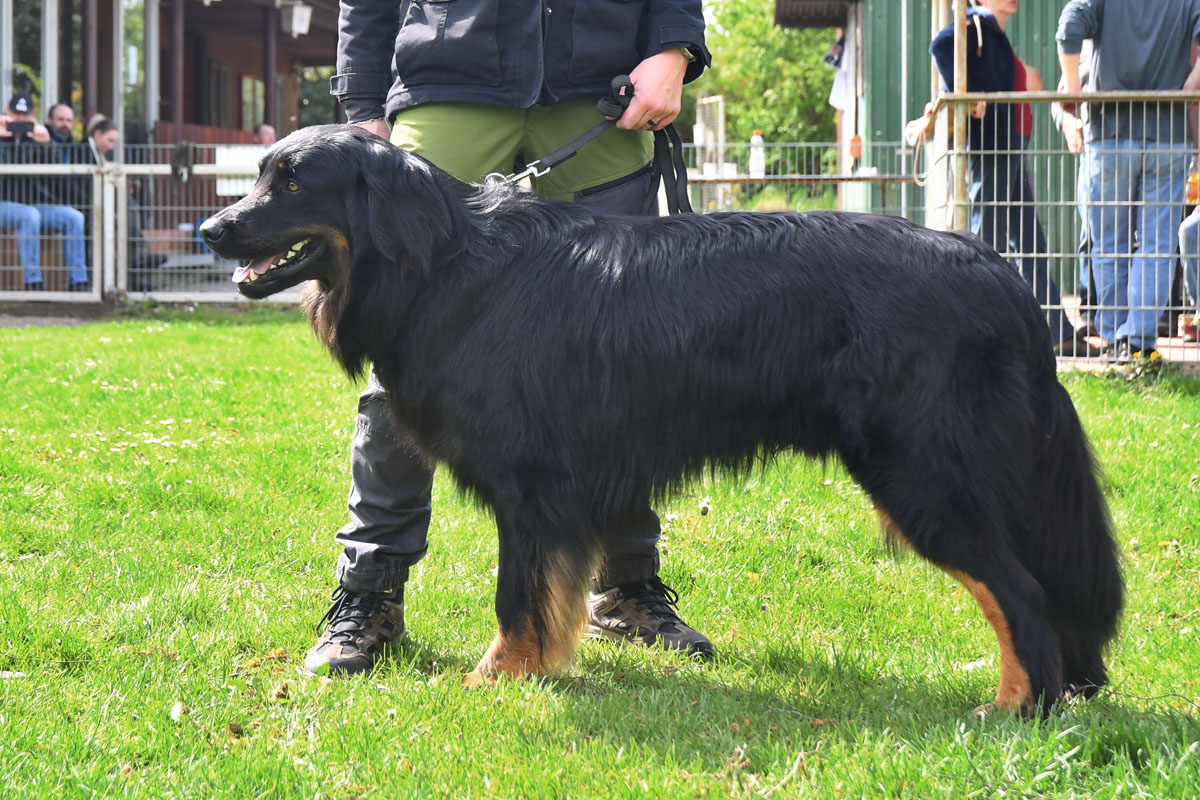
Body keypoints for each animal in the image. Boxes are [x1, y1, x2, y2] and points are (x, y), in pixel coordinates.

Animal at [201, 128, 1118, 714]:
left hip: (925, 474)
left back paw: (1017, 710)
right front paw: (539, 670)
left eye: (294, 181)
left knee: (1022, 595)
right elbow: (549, 595)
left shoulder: (532, 487)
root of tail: (1003, 278)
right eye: (261, 174)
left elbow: (515, 596)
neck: (446, 263)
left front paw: (498, 680)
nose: (210, 227)